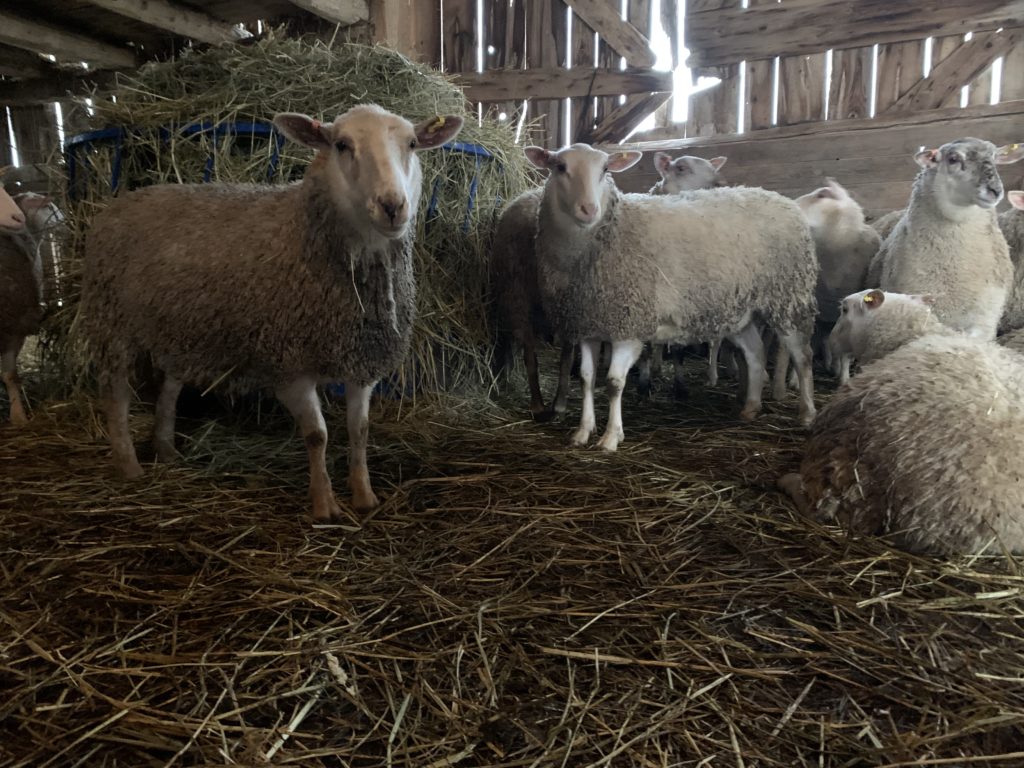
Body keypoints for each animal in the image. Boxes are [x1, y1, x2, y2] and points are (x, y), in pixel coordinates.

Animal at [79, 104, 464, 522]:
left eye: (411, 144)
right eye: (342, 145)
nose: (393, 206)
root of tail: (122, 201)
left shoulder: (361, 360)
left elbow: (359, 430)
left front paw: (363, 496)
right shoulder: (289, 364)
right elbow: (317, 435)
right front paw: (324, 504)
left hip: (175, 326)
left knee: (169, 386)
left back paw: (165, 449)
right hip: (112, 323)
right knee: (116, 395)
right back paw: (128, 466)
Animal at [526, 143, 818, 451]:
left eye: (605, 169)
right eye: (560, 167)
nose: (588, 210)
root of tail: (781, 199)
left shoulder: (629, 323)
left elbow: (614, 383)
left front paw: (611, 437)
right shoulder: (587, 323)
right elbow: (586, 378)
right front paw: (583, 431)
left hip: (789, 297)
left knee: (802, 356)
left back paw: (807, 414)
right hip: (740, 311)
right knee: (755, 353)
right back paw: (751, 408)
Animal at [779, 288, 1024, 555]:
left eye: (844, 309)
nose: (830, 342)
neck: (911, 336)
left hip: (844, 457)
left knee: (820, 503)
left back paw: (787, 482)